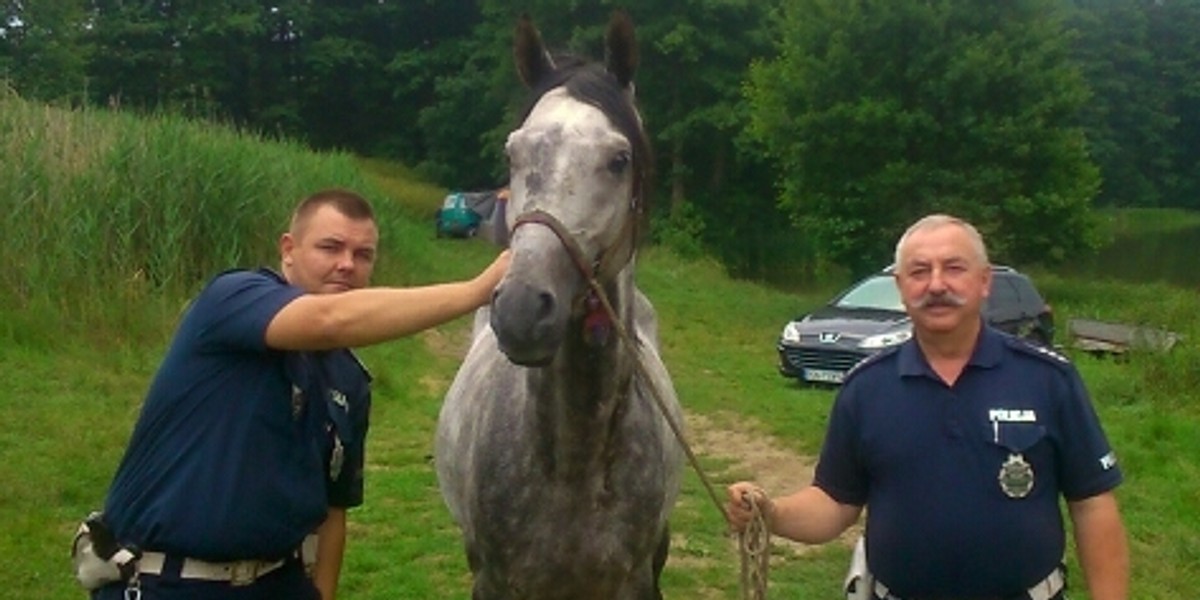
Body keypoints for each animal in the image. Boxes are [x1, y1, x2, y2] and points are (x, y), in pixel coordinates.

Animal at [436, 10, 686, 600]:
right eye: (513, 153)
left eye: (619, 159)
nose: (522, 309)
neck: (574, 459)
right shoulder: (493, 580)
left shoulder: (637, 580)